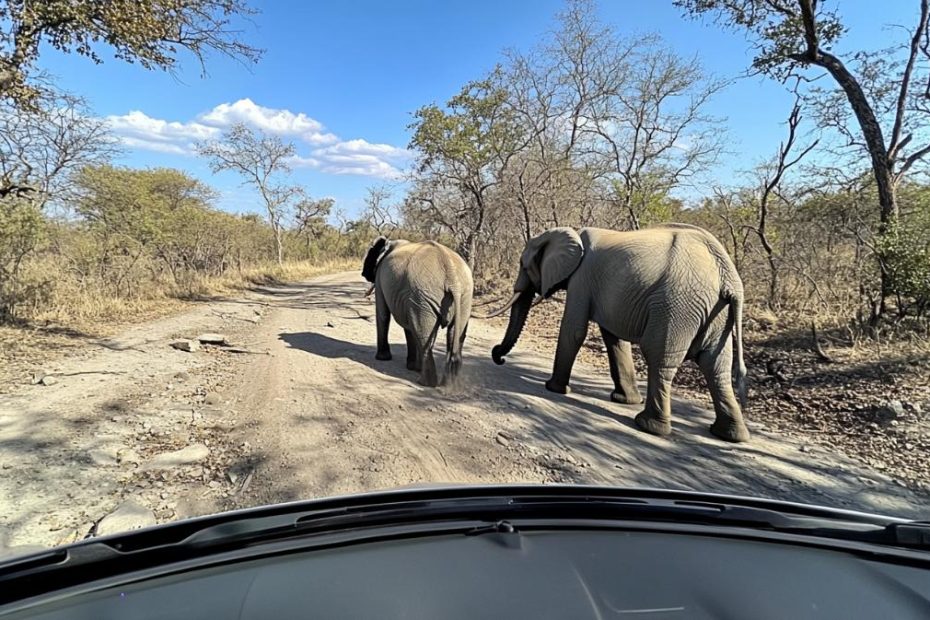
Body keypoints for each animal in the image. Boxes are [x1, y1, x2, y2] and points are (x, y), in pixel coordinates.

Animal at [358, 239, 472, 388]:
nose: (362, 274)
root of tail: (452, 277)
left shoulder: (380, 278)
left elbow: (383, 315)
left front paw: (383, 359)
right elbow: (408, 326)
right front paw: (412, 367)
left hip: (422, 295)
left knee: (422, 334)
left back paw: (425, 382)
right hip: (464, 298)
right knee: (453, 334)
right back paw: (448, 384)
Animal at [482, 225, 752, 444]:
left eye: (523, 265)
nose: (499, 357)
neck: (570, 233)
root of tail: (729, 277)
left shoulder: (582, 279)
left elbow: (574, 330)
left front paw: (554, 388)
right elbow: (614, 339)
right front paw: (624, 400)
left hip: (678, 306)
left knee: (660, 358)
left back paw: (648, 426)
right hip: (717, 313)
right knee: (716, 367)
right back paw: (730, 435)